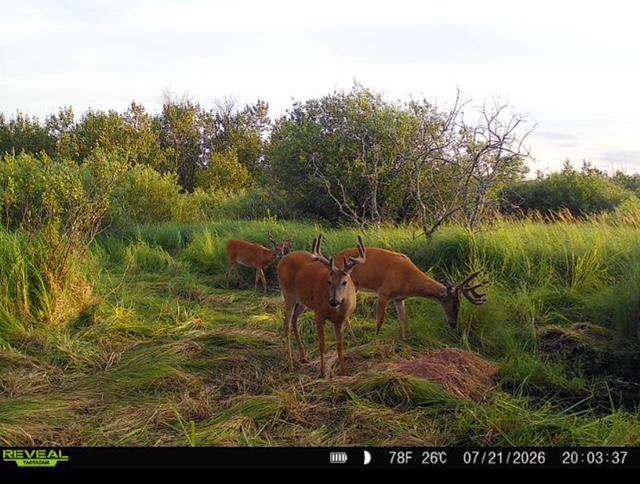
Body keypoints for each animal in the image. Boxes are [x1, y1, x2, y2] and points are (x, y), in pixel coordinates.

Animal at [277, 234, 366, 377]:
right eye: (329, 282)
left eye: (344, 282)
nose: (334, 301)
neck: (336, 310)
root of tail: (283, 259)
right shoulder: (318, 313)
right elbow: (322, 344)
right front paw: (322, 372)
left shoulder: (341, 320)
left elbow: (340, 345)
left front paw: (343, 372)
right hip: (288, 294)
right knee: (287, 325)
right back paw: (291, 365)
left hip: (302, 301)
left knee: (295, 319)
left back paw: (303, 357)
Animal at [334, 246, 487, 338]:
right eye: (455, 305)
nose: (453, 324)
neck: (408, 280)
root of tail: (335, 257)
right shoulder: (384, 292)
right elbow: (380, 319)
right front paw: (376, 338)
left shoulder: (399, 298)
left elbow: (403, 319)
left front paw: (404, 339)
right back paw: (351, 336)